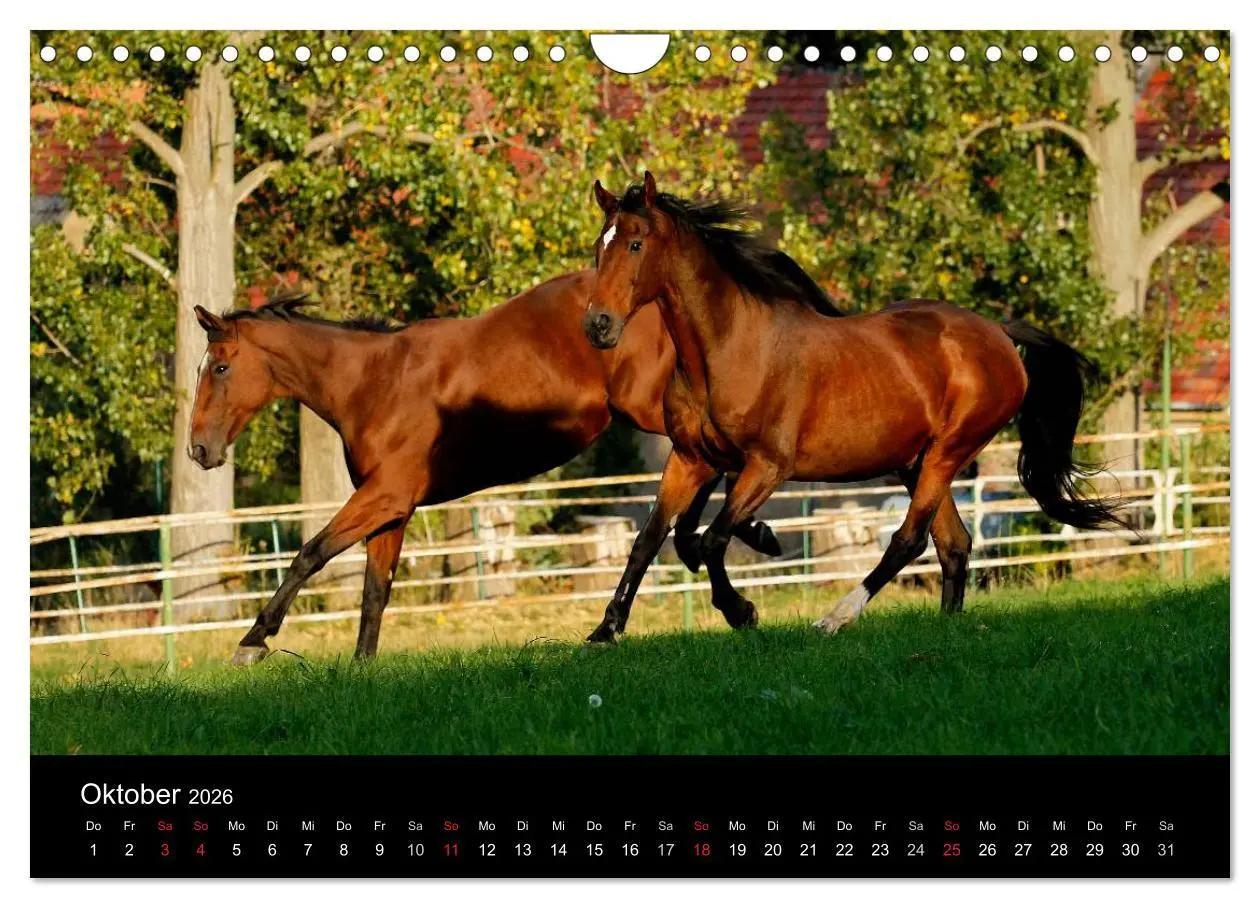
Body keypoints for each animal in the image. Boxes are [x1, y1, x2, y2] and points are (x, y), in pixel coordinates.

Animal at [187, 271, 782, 663]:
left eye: (219, 368)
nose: (198, 449)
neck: (373, 383)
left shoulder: (383, 497)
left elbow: (309, 555)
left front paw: (253, 640)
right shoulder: (394, 511)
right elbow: (375, 592)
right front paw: (361, 669)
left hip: (652, 409)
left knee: (715, 460)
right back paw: (731, 556)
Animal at [579, 172, 1123, 644]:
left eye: (635, 244)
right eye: (598, 247)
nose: (598, 326)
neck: (727, 350)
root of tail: (998, 333)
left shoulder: (766, 467)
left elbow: (710, 540)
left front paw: (742, 610)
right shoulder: (691, 459)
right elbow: (651, 539)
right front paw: (605, 630)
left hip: (948, 452)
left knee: (910, 540)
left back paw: (835, 618)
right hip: (916, 463)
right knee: (953, 544)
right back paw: (946, 626)